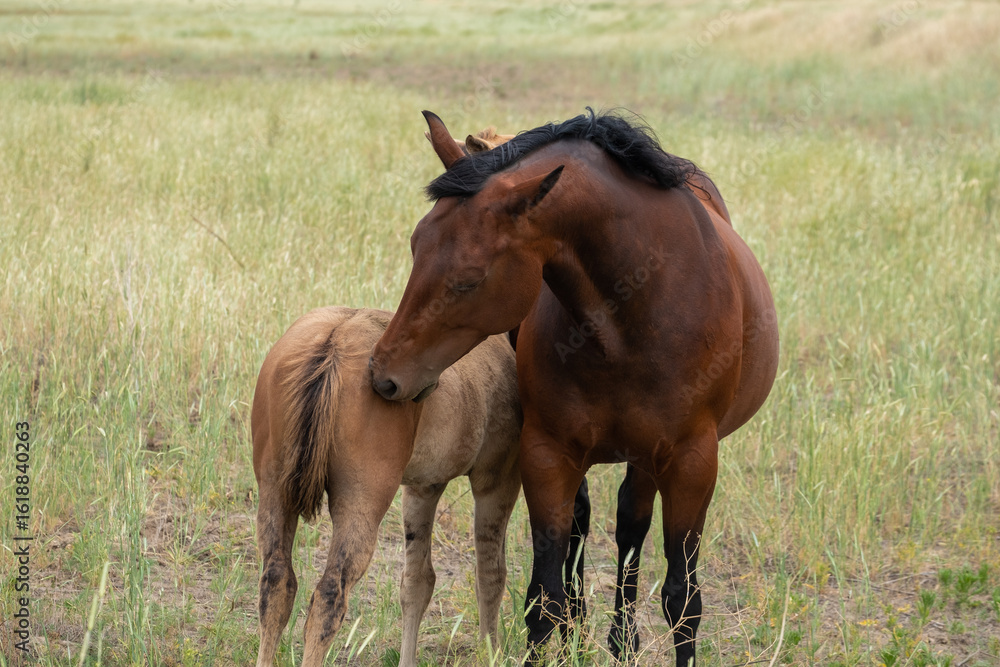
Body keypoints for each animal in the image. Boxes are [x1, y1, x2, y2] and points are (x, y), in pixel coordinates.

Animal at [252, 307, 522, 667]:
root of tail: (335, 339)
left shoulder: (424, 488)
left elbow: (417, 582)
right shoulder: (497, 481)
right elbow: (491, 577)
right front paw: (490, 653)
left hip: (275, 497)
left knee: (276, 585)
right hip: (360, 509)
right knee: (329, 597)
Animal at [369, 109, 780, 666]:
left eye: (470, 278)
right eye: (415, 245)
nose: (383, 375)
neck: (636, 312)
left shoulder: (692, 463)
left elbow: (682, 600)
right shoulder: (547, 454)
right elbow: (543, 598)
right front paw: (564, 632)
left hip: (650, 456)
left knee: (631, 524)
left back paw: (620, 640)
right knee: (589, 524)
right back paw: (584, 631)